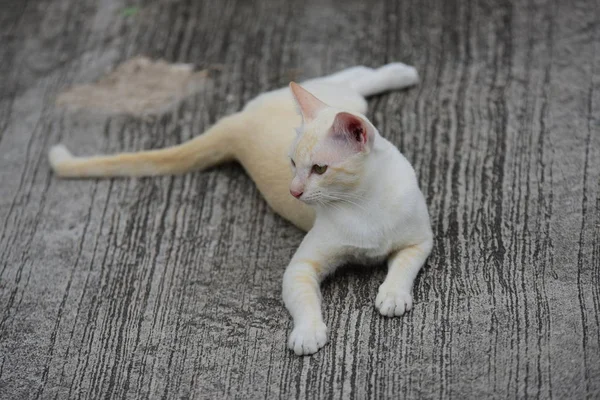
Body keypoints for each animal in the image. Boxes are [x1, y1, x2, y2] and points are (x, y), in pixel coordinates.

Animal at [47, 63, 432, 356]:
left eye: (320, 169)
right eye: (292, 164)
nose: (293, 191)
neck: (362, 202)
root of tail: (233, 124)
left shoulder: (422, 240)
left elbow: (403, 266)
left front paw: (393, 295)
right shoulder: (300, 268)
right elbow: (305, 301)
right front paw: (308, 333)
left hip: (346, 102)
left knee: (349, 82)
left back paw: (400, 72)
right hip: (334, 98)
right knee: (342, 81)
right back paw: (397, 72)